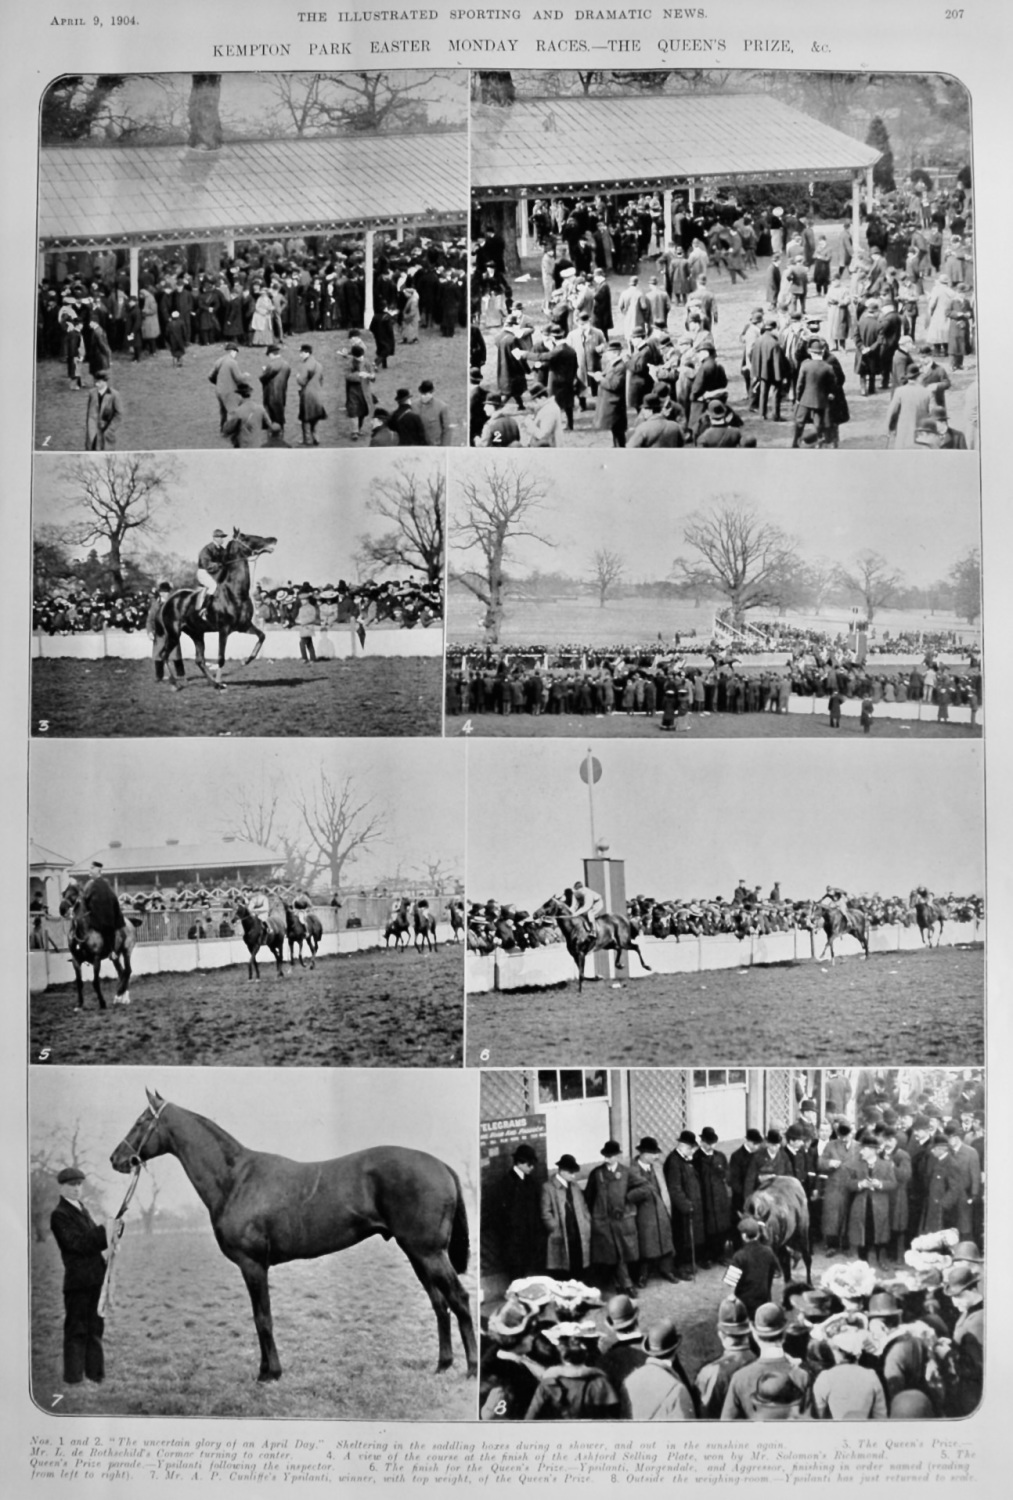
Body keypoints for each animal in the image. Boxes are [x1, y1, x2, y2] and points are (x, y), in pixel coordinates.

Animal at [58, 876, 136, 1008]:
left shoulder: (96, 959)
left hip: (127, 951)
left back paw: (120, 995)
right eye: (63, 893)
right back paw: (121, 997)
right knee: (122, 972)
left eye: (73, 895)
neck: (83, 932)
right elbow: (79, 983)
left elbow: (95, 982)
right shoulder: (76, 960)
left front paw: (102, 1002)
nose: (62, 909)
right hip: (115, 957)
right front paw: (79, 1004)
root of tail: (129, 922)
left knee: (128, 970)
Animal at [113, 1092, 477, 1380]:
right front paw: (266, 1369)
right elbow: (260, 1318)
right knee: (440, 1303)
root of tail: (441, 1166)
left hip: (429, 1253)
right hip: (417, 1253)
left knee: (459, 1299)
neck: (236, 1179)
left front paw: (269, 1373)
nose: (116, 1158)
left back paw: (471, 1369)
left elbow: (263, 1319)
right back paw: (443, 1365)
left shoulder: (253, 1265)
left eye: (141, 1121)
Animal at [152, 528, 277, 690]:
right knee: (164, 655)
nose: (273, 539)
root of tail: (167, 603)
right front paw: (221, 682)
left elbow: (262, 636)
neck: (235, 592)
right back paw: (176, 683)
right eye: (246, 537)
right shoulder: (223, 630)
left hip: (197, 634)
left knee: (199, 660)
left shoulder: (244, 626)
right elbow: (221, 658)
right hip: (174, 634)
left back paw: (212, 683)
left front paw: (244, 661)